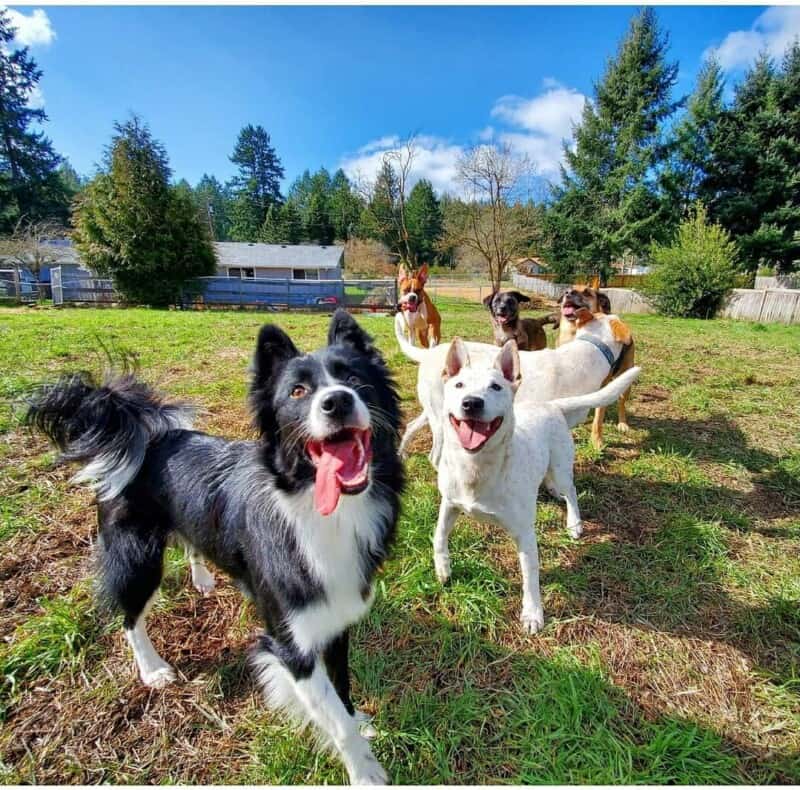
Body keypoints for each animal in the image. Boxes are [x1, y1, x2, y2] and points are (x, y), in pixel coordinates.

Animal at [396, 308, 636, 468]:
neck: (586, 352)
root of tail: (428, 353)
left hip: (435, 411)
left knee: (411, 426)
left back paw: (402, 454)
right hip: (442, 421)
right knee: (435, 455)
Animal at [434, 338, 640, 636]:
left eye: (496, 387)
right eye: (459, 385)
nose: (471, 403)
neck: (477, 467)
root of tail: (551, 405)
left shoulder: (525, 535)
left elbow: (530, 577)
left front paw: (533, 614)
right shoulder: (449, 504)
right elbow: (439, 535)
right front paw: (443, 568)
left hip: (562, 467)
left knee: (571, 492)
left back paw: (574, 523)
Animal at [556, 286, 636, 448]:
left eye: (587, 292)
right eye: (568, 289)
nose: (568, 293)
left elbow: (598, 418)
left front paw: (596, 441)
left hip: (626, 377)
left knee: (621, 403)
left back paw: (622, 424)